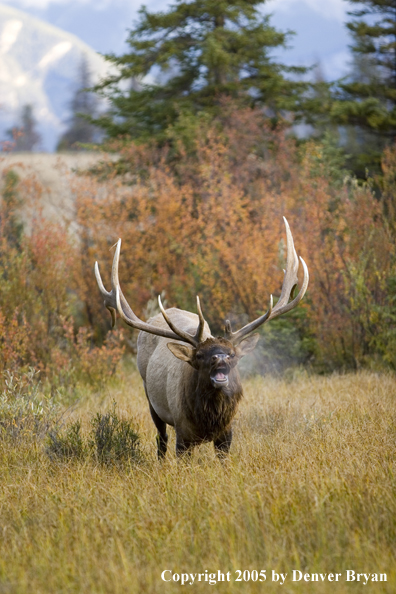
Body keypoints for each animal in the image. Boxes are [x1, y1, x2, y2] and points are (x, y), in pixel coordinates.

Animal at [94, 217, 308, 458]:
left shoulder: (227, 433)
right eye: (200, 355)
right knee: (161, 439)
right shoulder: (182, 433)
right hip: (150, 396)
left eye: (232, 354)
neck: (208, 421)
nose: (220, 358)